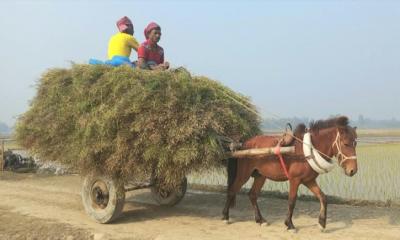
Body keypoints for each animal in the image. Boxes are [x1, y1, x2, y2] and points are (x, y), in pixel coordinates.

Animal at [223, 116, 358, 231]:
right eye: (345, 143)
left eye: (355, 143)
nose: (353, 170)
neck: (308, 151)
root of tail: (244, 144)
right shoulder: (295, 180)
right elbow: (292, 201)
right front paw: (289, 224)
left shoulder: (309, 181)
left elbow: (323, 197)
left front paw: (322, 223)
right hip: (244, 174)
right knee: (232, 190)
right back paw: (225, 217)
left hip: (260, 176)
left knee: (252, 195)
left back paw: (260, 220)